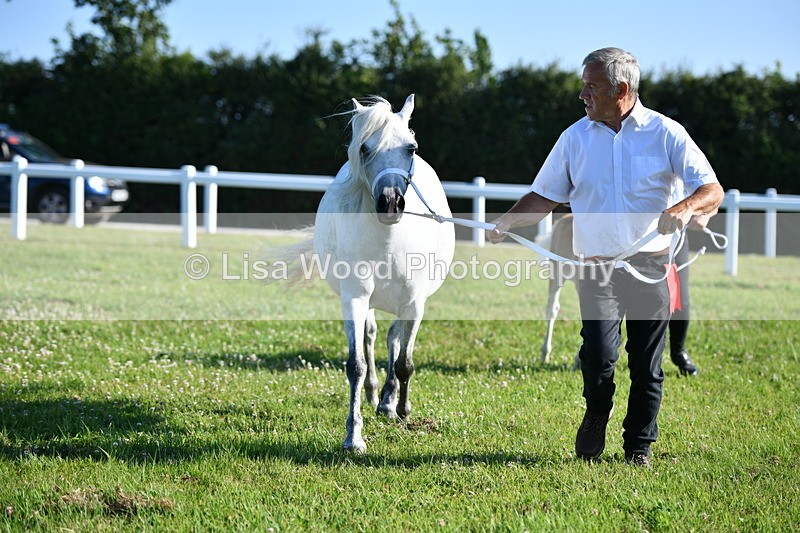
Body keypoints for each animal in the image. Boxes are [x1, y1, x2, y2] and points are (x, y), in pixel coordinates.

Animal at [313, 94, 455, 453]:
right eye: (365, 148)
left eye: (411, 148)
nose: (390, 203)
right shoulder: (355, 299)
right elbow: (356, 365)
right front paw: (353, 436)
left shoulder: (414, 304)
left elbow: (404, 362)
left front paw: (401, 408)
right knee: (373, 336)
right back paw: (375, 393)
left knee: (394, 338)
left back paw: (389, 401)